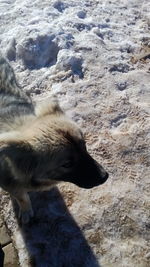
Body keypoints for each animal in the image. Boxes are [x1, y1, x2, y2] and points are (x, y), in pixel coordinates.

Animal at [0, 54, 108, 224]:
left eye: (84, 146)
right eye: (67, 164)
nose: (105, 176)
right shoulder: (9, 185)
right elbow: (22, 197)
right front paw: (26, 210)